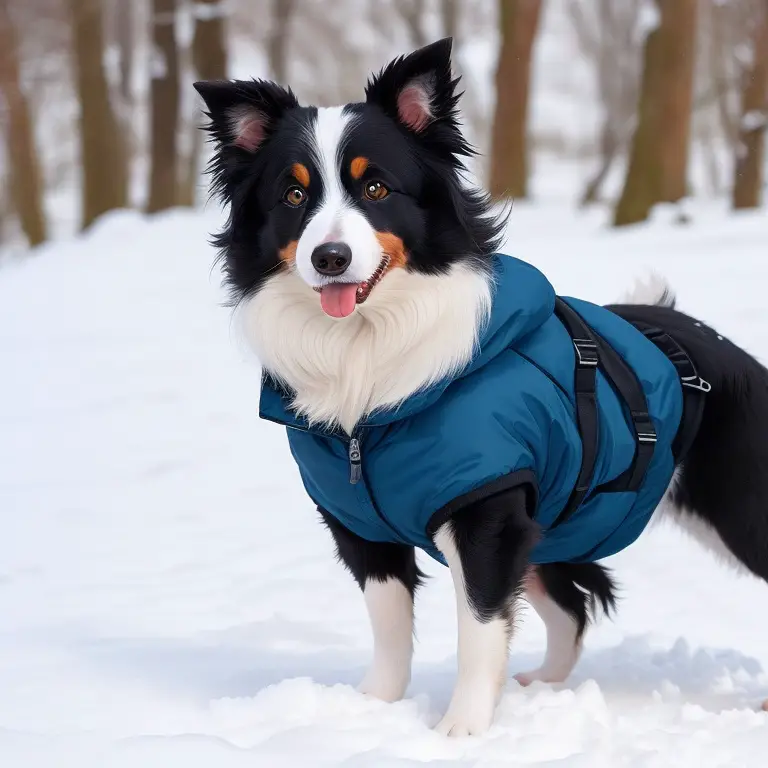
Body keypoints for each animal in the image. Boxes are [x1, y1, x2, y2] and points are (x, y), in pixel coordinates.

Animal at [195, 39, 768, 736]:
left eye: (376, 186)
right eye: (293, 194)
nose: (330, 258)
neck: (369, 361)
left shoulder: (487, 515)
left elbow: (480, 628)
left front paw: (460, 731)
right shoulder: (360, 525)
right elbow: (390, 627)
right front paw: (374, 709)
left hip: (741, 508)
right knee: (571, 609)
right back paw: (545, 687)